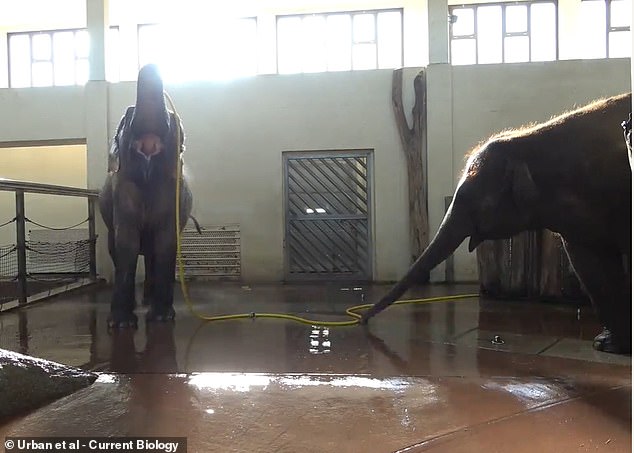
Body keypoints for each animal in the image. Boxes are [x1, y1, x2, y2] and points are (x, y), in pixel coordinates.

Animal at [99, 63, 191, 328]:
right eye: (129, 116)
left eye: (171, 120)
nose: (150, 66)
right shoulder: (123, 189)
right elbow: (126, 241)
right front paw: (120, 324)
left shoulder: (173, 192)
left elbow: (166, 241)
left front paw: (161, 318)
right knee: (116, 249)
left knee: (152, 253)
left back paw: (150, 301)